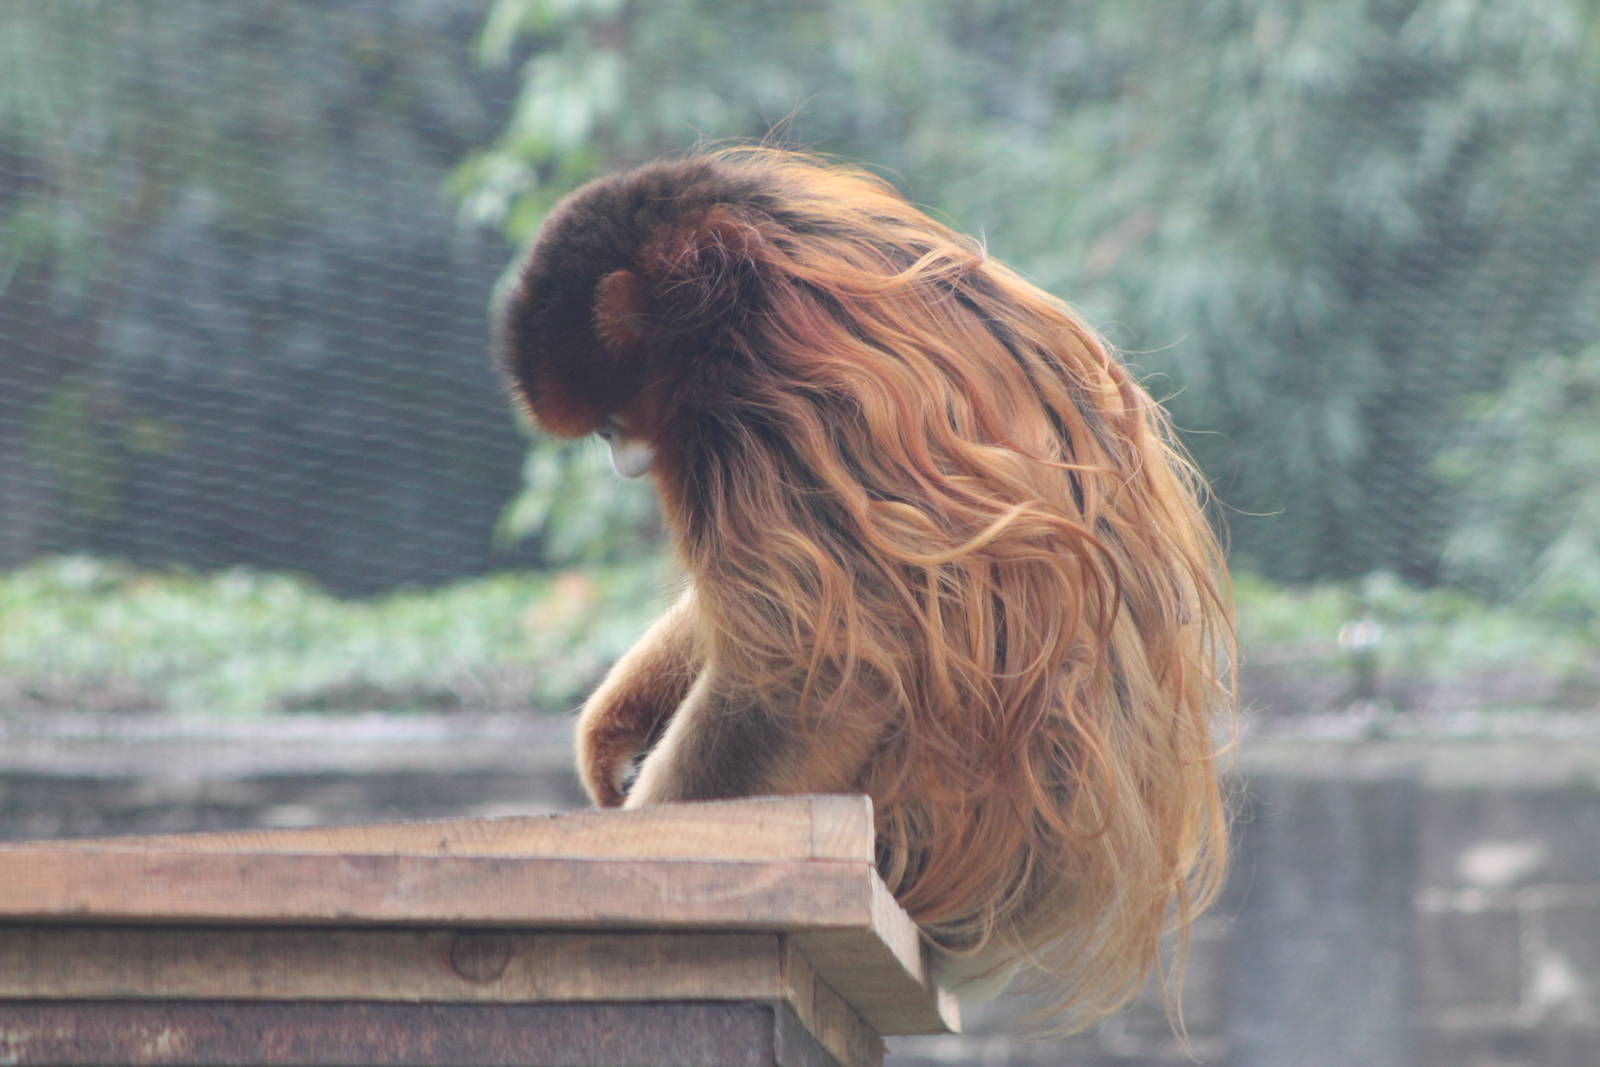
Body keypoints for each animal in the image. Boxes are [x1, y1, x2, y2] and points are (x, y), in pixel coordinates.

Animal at [493, 148, 1234, 1028]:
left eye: (610, 425)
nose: (618, 460)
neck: (732, 262)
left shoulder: (755, 397)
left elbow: (822, 673)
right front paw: (612, 729)